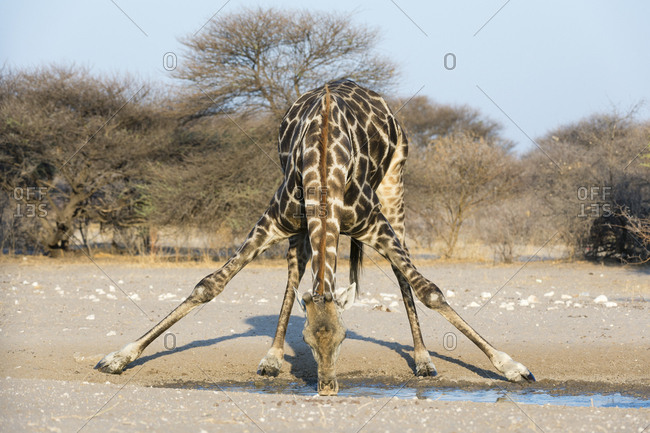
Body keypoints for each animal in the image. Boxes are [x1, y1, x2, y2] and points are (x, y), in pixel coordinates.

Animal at [96, 80, 535, 395]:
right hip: (300, 230)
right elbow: (209, 285)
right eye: (306, 340)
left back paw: (424, 360)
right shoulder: (273, 220)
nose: (327, 389)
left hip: (395, 189)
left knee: (401, 275)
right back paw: (271, 357)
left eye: (344, 338)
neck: (325, 167)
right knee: (295, 274)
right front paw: (118, 357)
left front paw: (513, 367)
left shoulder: (374, 223)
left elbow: (431, 291)